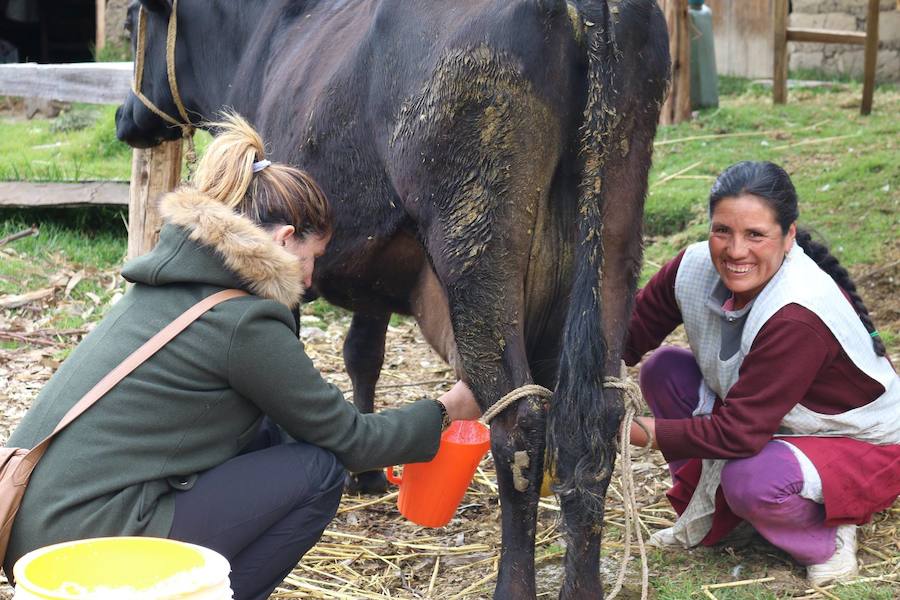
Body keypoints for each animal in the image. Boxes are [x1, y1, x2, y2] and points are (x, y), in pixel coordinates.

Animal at [116, 2, 668, 596]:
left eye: (130, 24)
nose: (125, 118)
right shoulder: (375, 275)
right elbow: (364, 354)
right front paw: (368, 475)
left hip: (476, 233)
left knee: (519, 423)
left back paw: (512, 584)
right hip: (613, 224)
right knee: (596, 419)